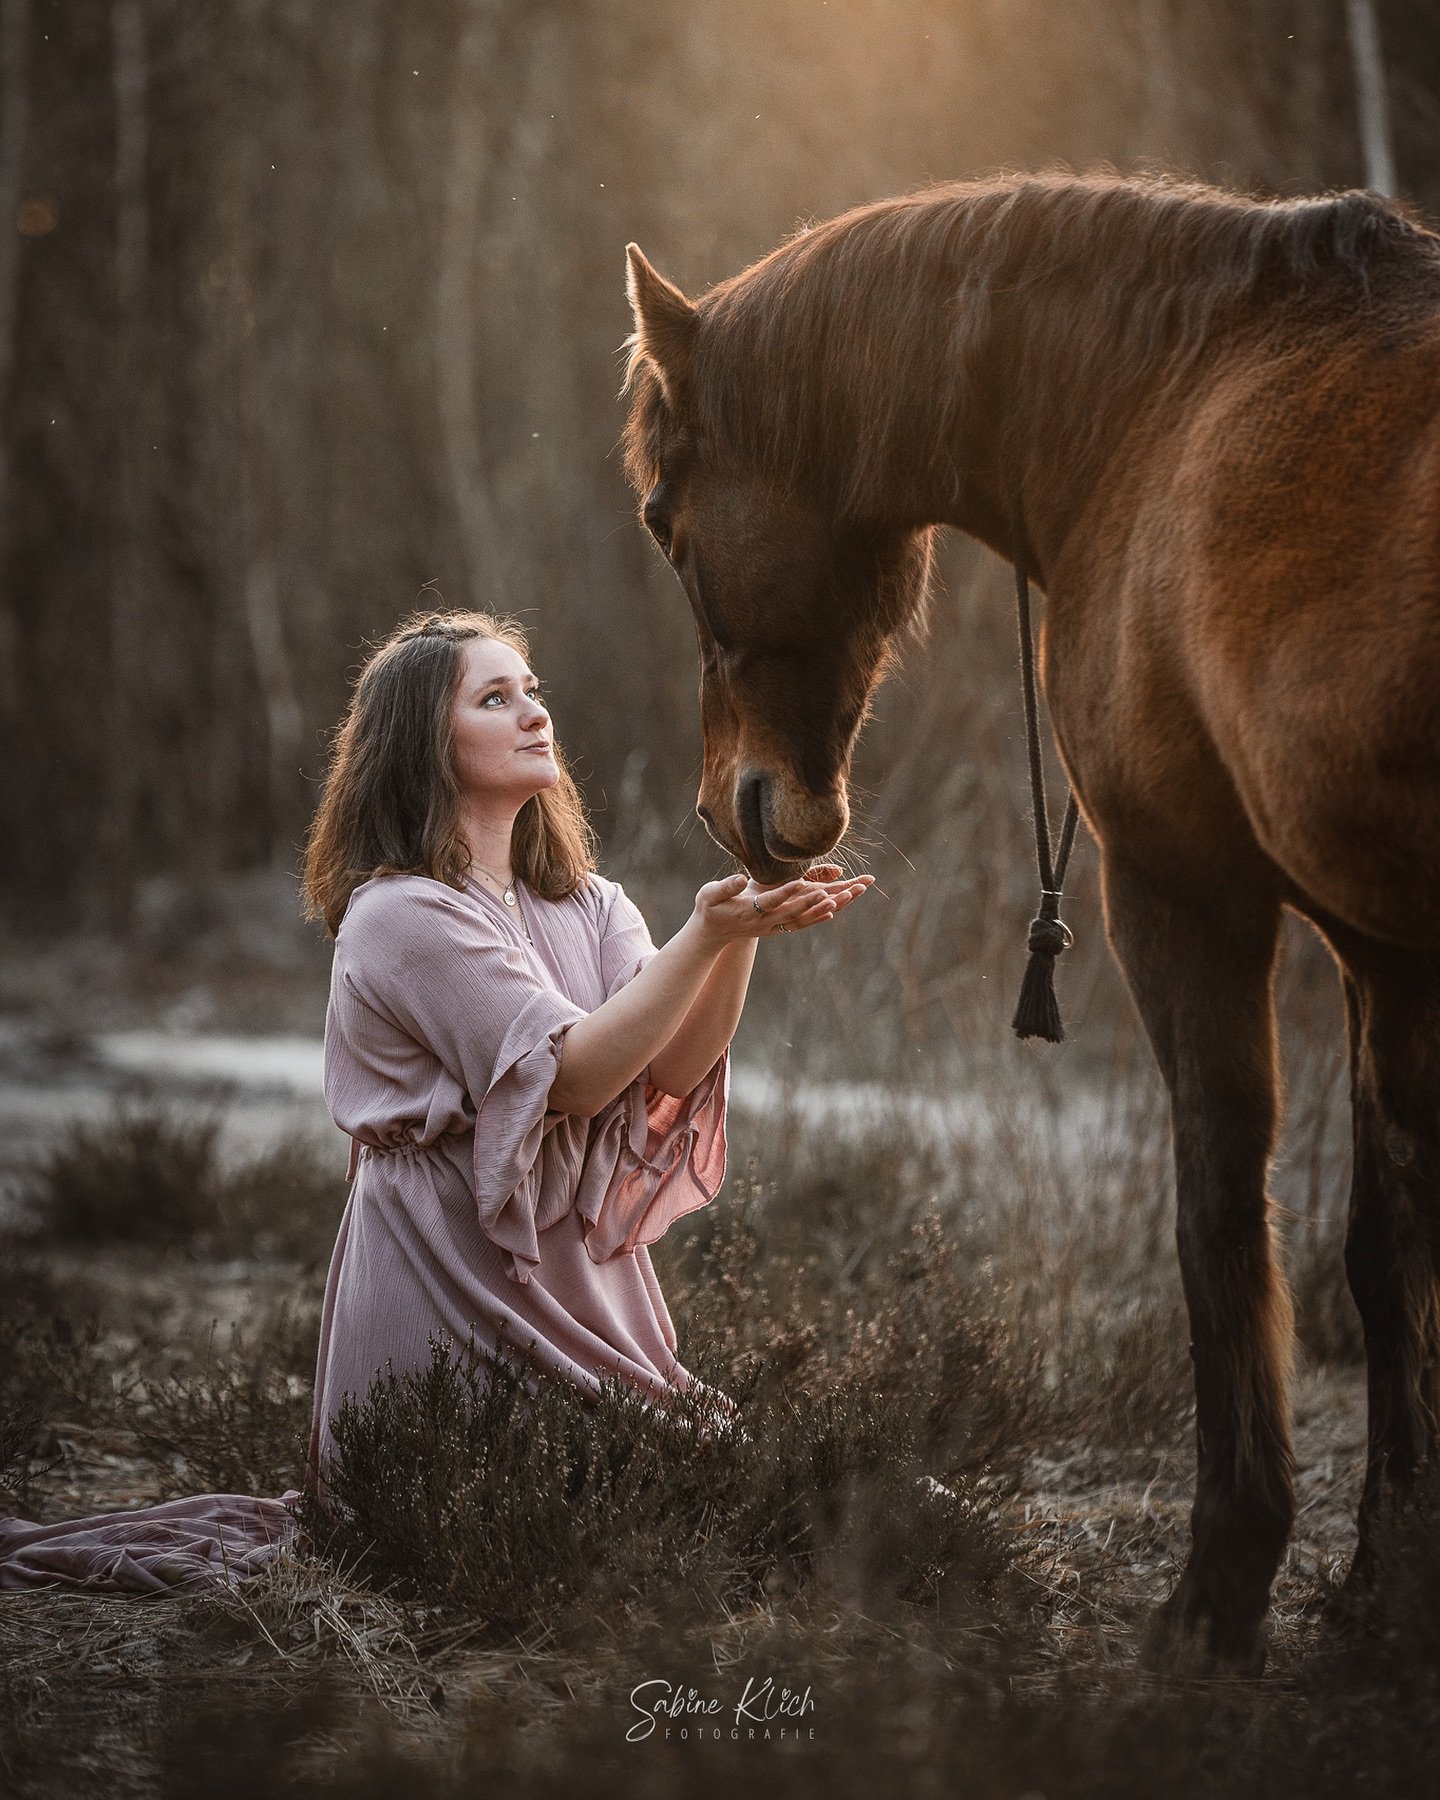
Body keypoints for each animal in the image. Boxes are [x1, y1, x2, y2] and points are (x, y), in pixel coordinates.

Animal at [622, 171, 1440, 1670]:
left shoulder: (1185, 892)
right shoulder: (1386, 953)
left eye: (665, 512)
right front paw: (1382, 1585)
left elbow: (1221, 1209)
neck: (1158, 400)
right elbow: (1386, 1250)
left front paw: (1224, 1585)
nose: (737, 810)